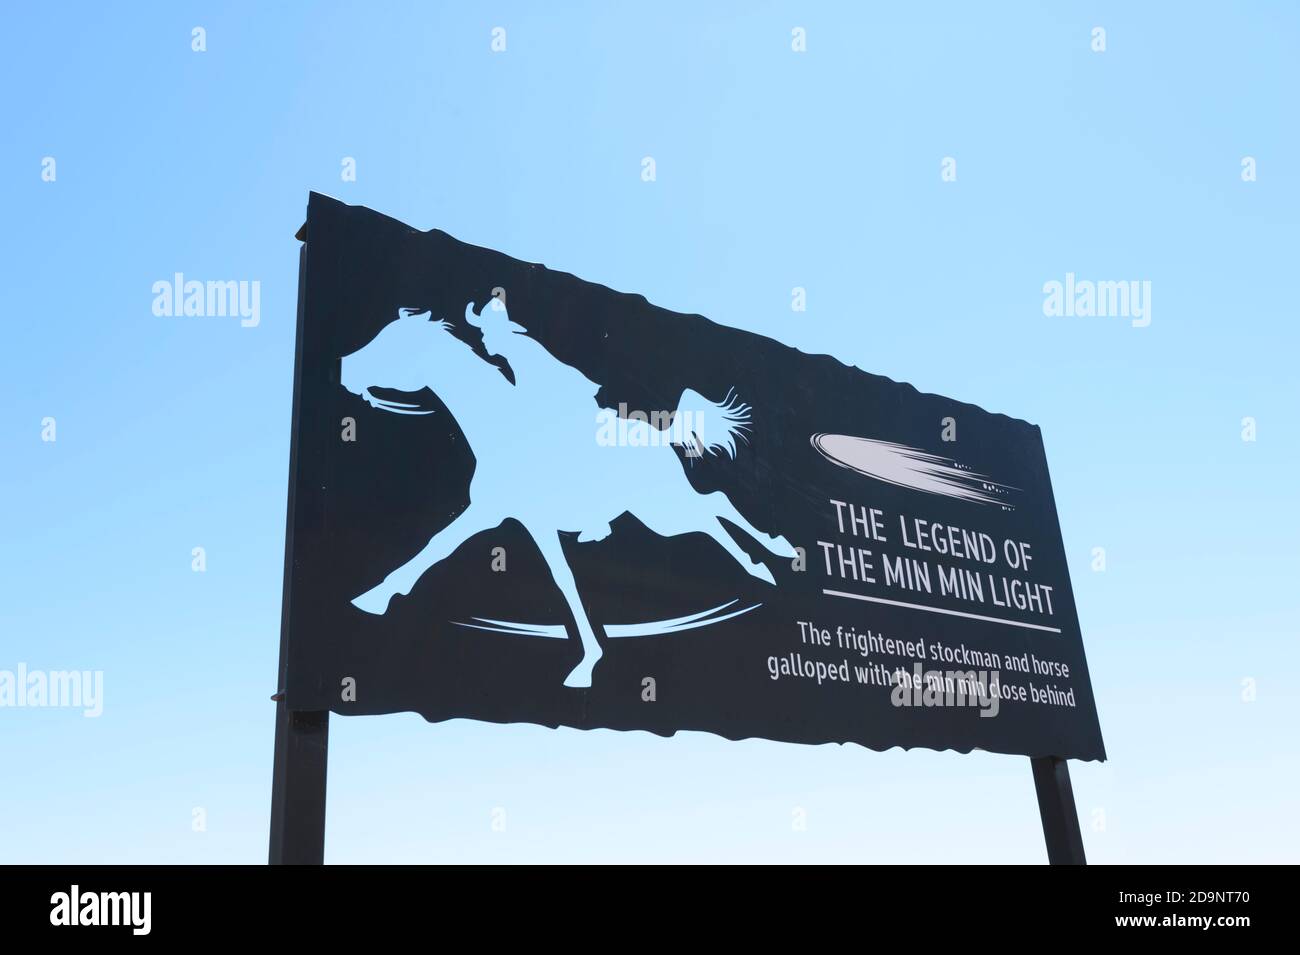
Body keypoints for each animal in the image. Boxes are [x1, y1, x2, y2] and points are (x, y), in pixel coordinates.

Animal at [338, 306, 790, 686]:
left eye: (393, 343)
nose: (345, 369)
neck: (502, 427)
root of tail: (663, 436)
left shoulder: (521, 519)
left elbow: (560, 580)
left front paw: (586, 664)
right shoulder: (494, 512)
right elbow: (438, 545)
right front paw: (373, 598)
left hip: (662, 515)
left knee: (714, 506)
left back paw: (771, 557)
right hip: (657, 513)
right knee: (712, 509)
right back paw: (765, 562)